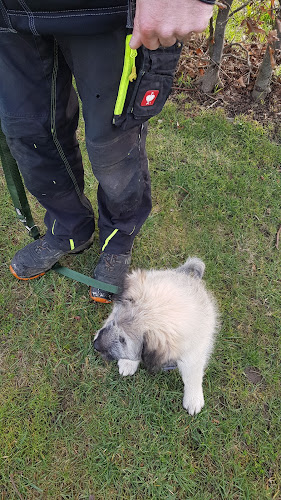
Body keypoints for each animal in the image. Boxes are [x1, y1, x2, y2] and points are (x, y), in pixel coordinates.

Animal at [93, 258, 218, 414]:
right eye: (113, 323)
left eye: (123, 340)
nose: (95, 344)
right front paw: (128, 363)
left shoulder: (194, 354)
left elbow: (193, 377)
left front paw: (193, 398)